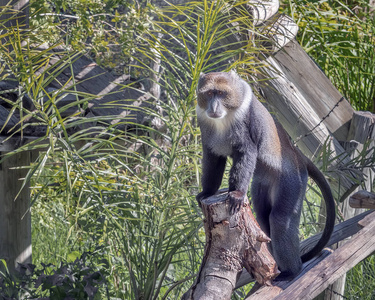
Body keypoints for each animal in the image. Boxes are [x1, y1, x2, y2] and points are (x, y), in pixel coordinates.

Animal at [197, 71, 338, 282]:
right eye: (209, 93)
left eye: (221, 93)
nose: (213, 107)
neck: (224, 119)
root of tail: (297, 155)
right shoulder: (207, 133)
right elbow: (213, 158)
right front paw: (206, 192)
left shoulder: (246, 126)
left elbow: (246, 152)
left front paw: (237, 193)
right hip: (262, 185)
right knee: (264, 219)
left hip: (292, 183)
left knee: (279, 220)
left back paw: (292, 271)